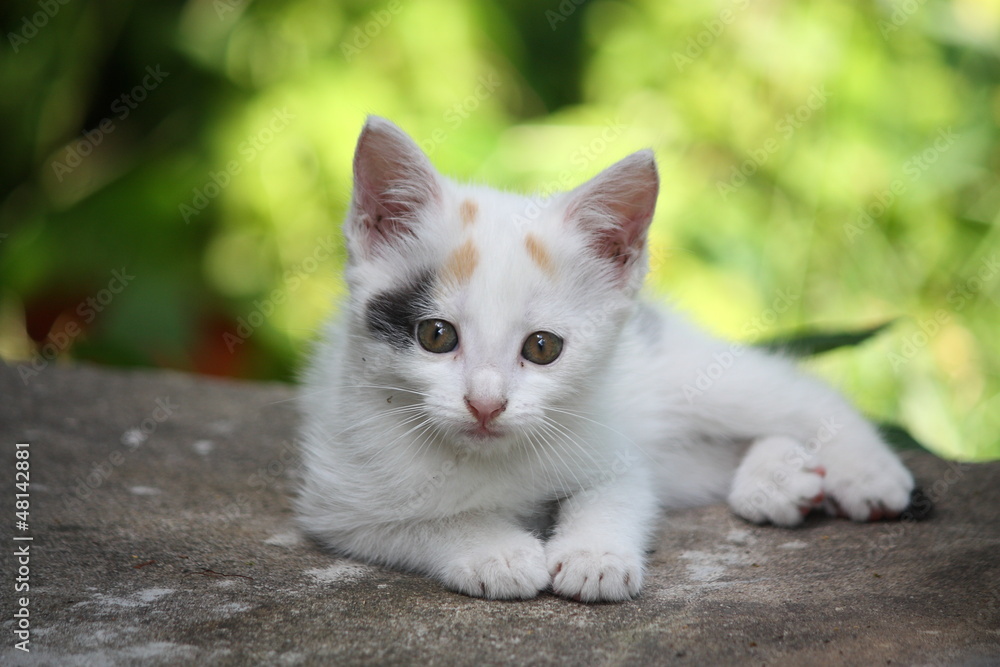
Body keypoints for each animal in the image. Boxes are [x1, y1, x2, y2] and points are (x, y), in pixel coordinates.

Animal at [294, 117, 916, 604]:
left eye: (542, 348)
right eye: (436, 335)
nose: (486, 404)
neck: (490, 457)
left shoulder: (612, 441)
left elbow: (619, 491)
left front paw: (595, 557)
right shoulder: (342, 501)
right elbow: (420, 521)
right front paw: (495, 552)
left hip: (688, 376)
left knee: (800, 394)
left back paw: (865, 473)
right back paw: (779, 478)